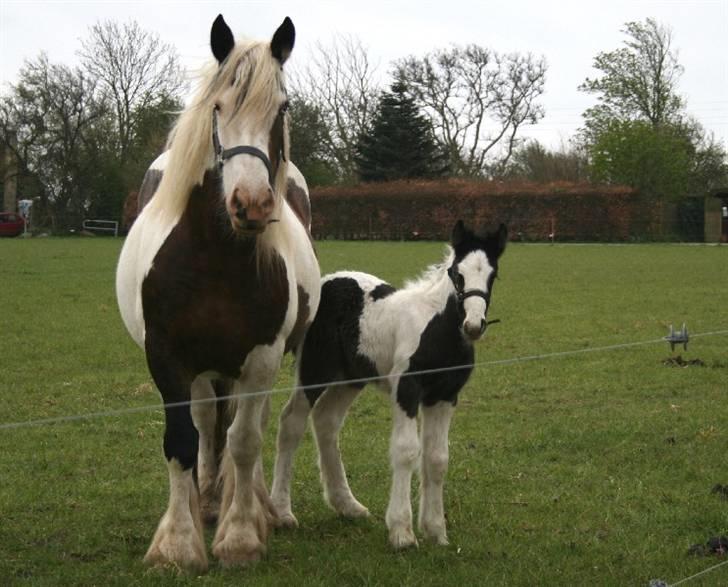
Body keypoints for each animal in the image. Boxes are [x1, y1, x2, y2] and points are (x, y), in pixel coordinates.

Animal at [115, 16, 320, 572]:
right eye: (218, 106)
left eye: (282, 108)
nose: (251, 204)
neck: (215, 258)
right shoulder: (167, 358)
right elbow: (182, 441)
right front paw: (178, 543)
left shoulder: (262, 358)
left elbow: (245, 443)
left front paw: (242, 534)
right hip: (203, 369)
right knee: (206, 423)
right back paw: (205, 501)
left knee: (242, 428)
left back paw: (252, 507)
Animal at [272, 222, 506, 552]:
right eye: (456, 273)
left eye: (492, 275)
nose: (473, 326)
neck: (437, 328)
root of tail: (325, 283)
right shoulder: (406, 390)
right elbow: (407, 451)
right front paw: (402, 532)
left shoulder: (445, 396)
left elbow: (437, 458)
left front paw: (436, 531)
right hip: (314, 371)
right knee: (292, 421)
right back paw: (282, 512)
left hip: (351, 379)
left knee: (326, 421)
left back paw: (347, 505)